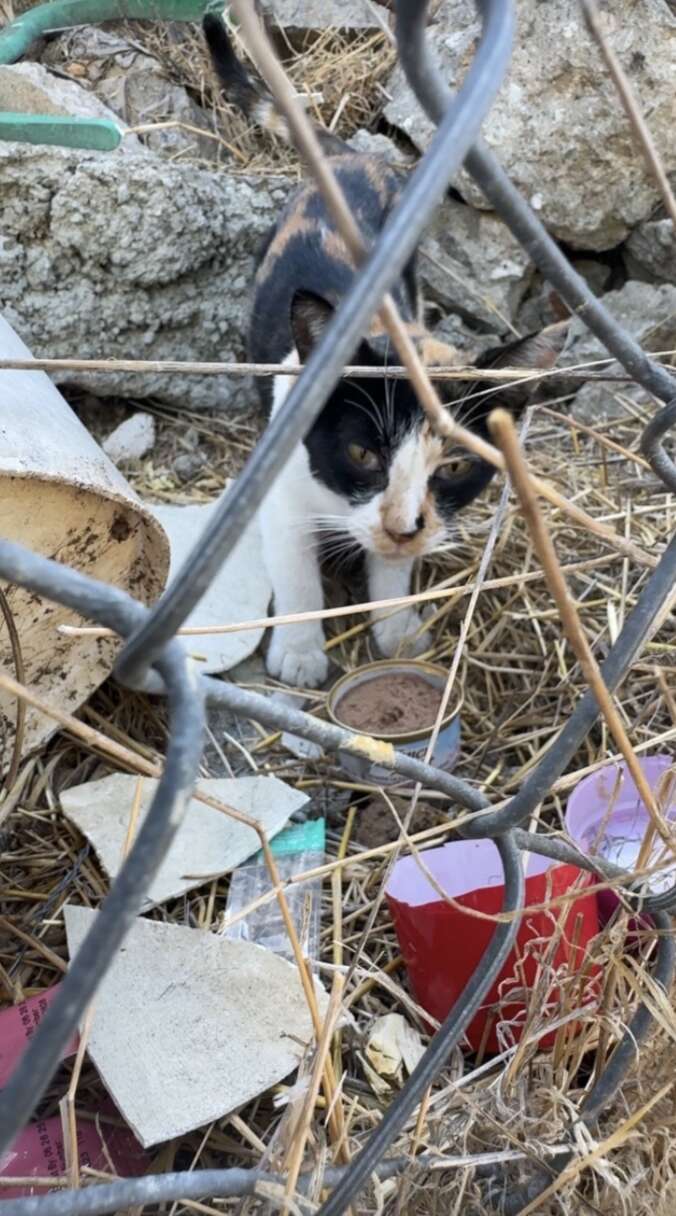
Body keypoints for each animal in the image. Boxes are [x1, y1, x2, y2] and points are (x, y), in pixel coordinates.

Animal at [201, 14, 564, 690]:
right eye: (361, 452)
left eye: (454, 467)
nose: (401, 526)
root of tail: (356, 157)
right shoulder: (281, 490)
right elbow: (294, 568)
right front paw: (300, 650)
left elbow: (393, 568)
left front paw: (395, 626)